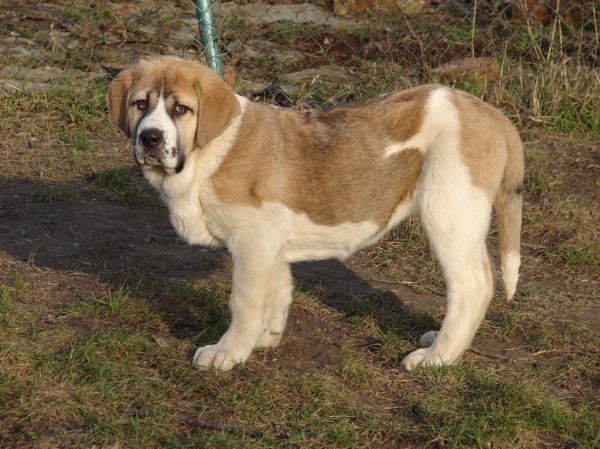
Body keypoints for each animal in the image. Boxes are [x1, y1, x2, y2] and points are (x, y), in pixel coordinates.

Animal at [108, 56, 524, 372]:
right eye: (141, 105)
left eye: (181, 109)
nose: (150, 138)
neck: (209, 151)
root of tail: (493, 114)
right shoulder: (269, 243)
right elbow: (276, 292)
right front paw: (265, 338)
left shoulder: (253, 242)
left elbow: (244, 302)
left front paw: (227, 352)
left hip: (448, 212)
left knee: (472, 285)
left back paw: (438, 357)